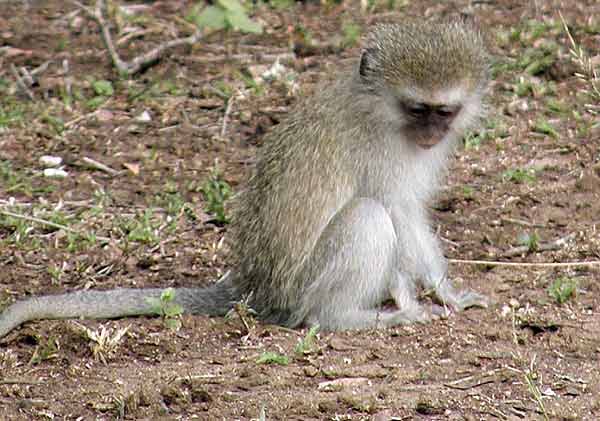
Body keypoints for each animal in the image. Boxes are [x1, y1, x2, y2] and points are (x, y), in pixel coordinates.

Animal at [0, 19, 490, 336]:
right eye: (417, 109)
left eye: (444, 112)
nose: (431, 134)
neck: (381, 114)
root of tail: (254, 287)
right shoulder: (378, 154)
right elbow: (396, 213)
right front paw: (411, 301)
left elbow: (413, 217)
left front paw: (448, 293)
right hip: (300, 288)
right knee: (367, 217)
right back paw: (343, 318)